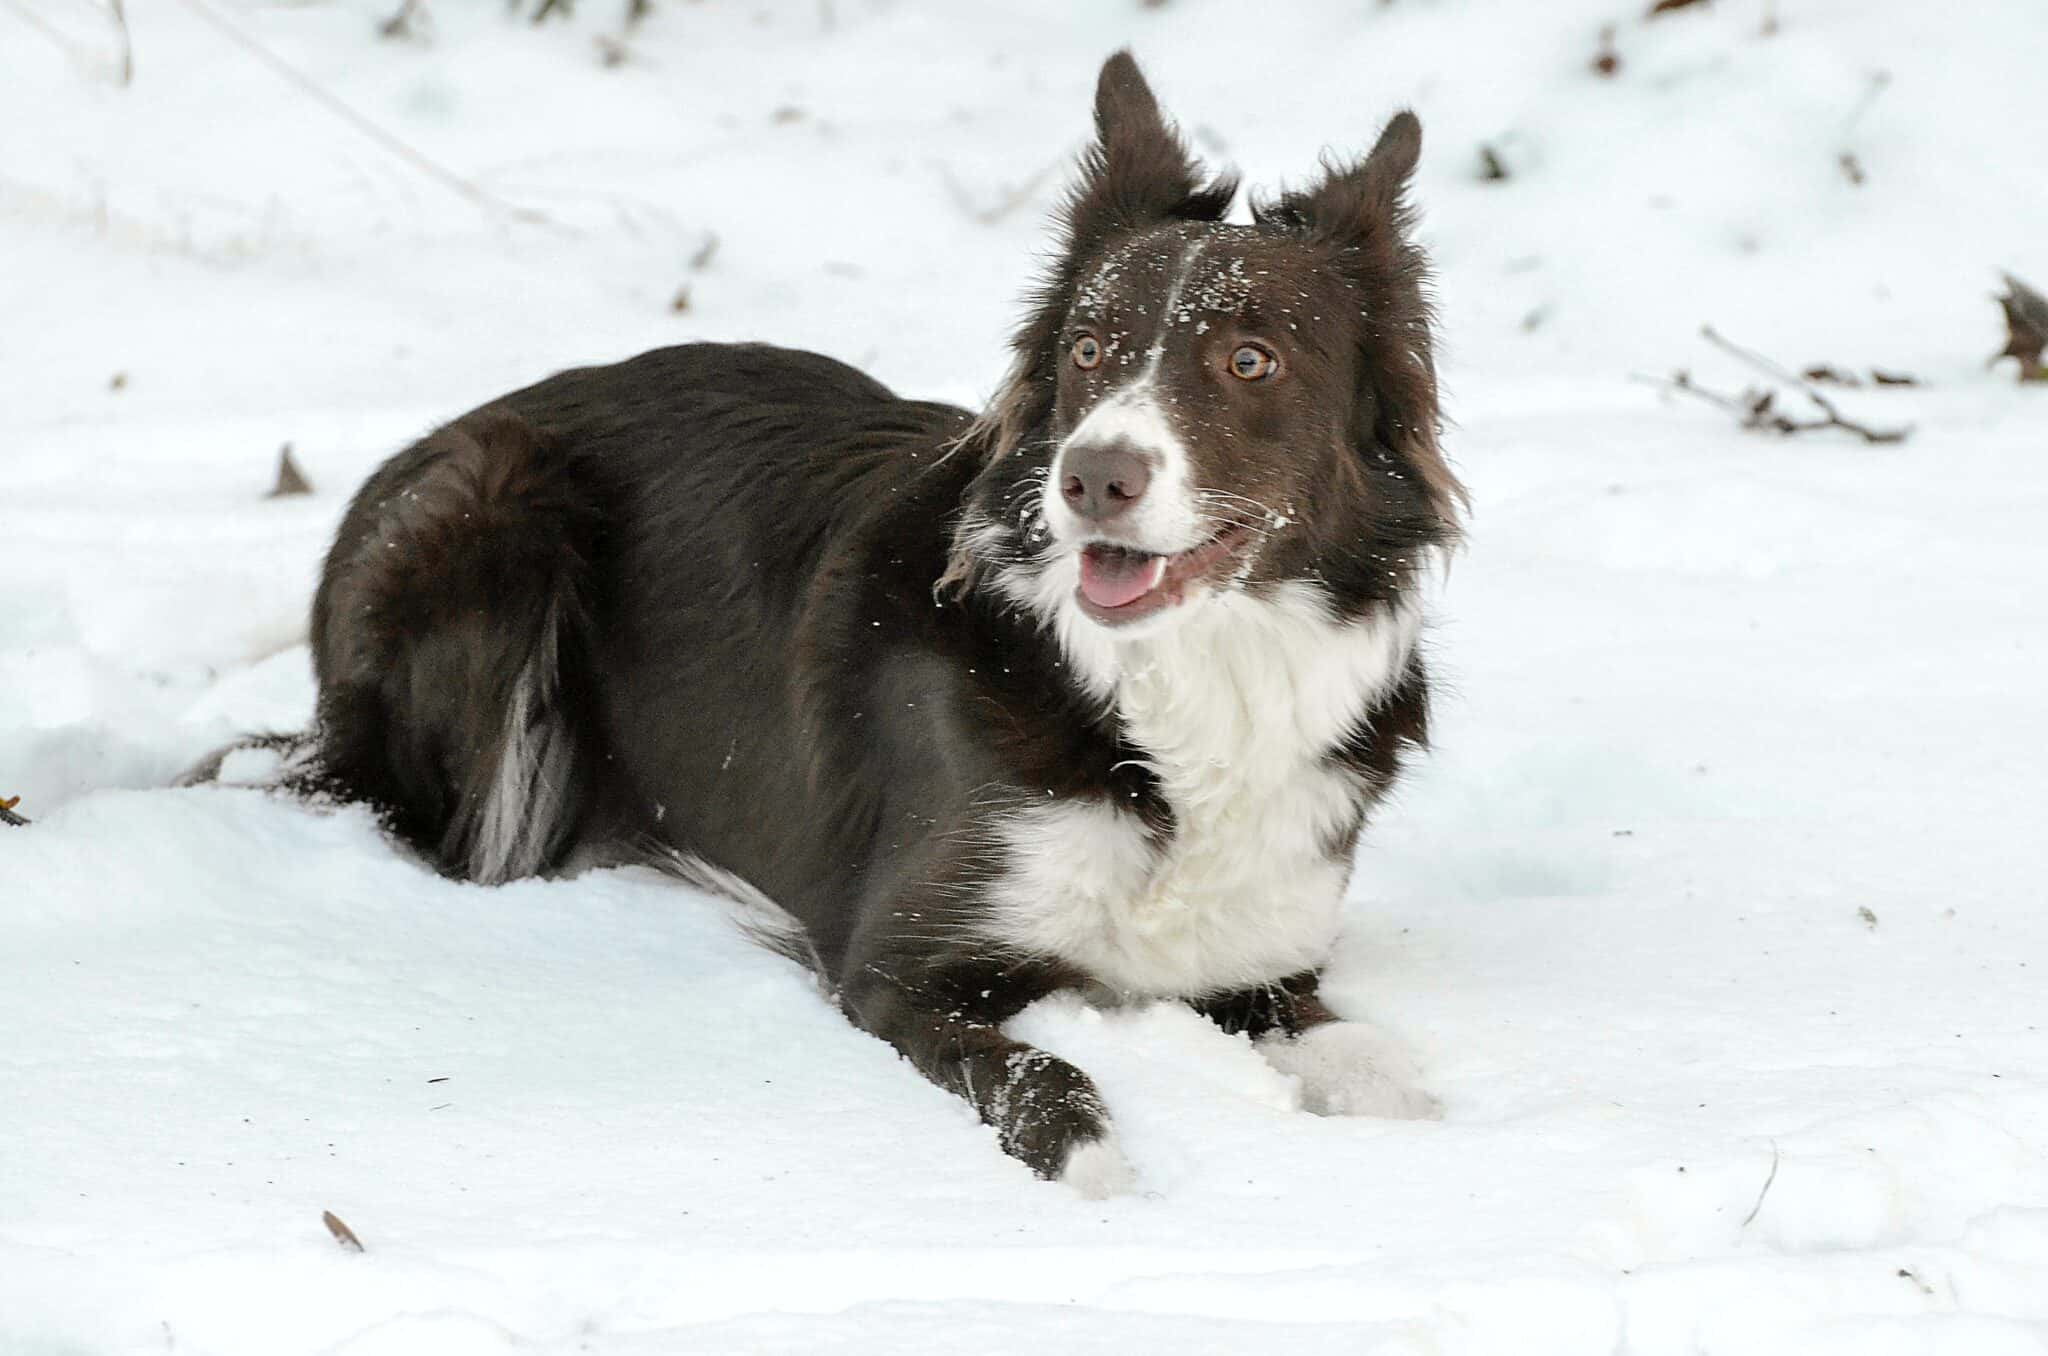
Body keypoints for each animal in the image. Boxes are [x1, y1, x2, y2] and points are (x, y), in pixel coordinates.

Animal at [280, 53, 1458, 1196]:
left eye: (1249, 360)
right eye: (1086, 352)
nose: (1091, 479)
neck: (1172, 683)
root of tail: (435, 437)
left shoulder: (1263, 965)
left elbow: (1385, 1070)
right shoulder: (901, 968)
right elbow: (1051, 1085)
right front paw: (1104, 1178)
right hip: (496, 521)